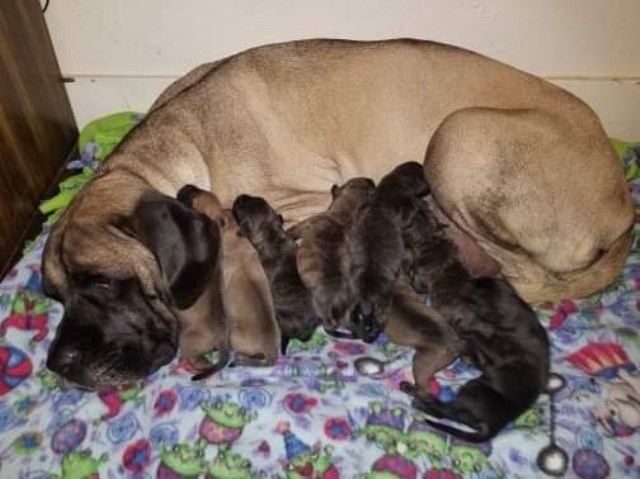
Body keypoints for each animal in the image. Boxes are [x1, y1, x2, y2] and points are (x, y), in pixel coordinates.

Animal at [286, 178, 376, 336]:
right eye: (356, 181)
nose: (371, 180)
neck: (343, 213)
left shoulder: (305, 224)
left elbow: (291, 231)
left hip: (319, 307)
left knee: (329, 326)